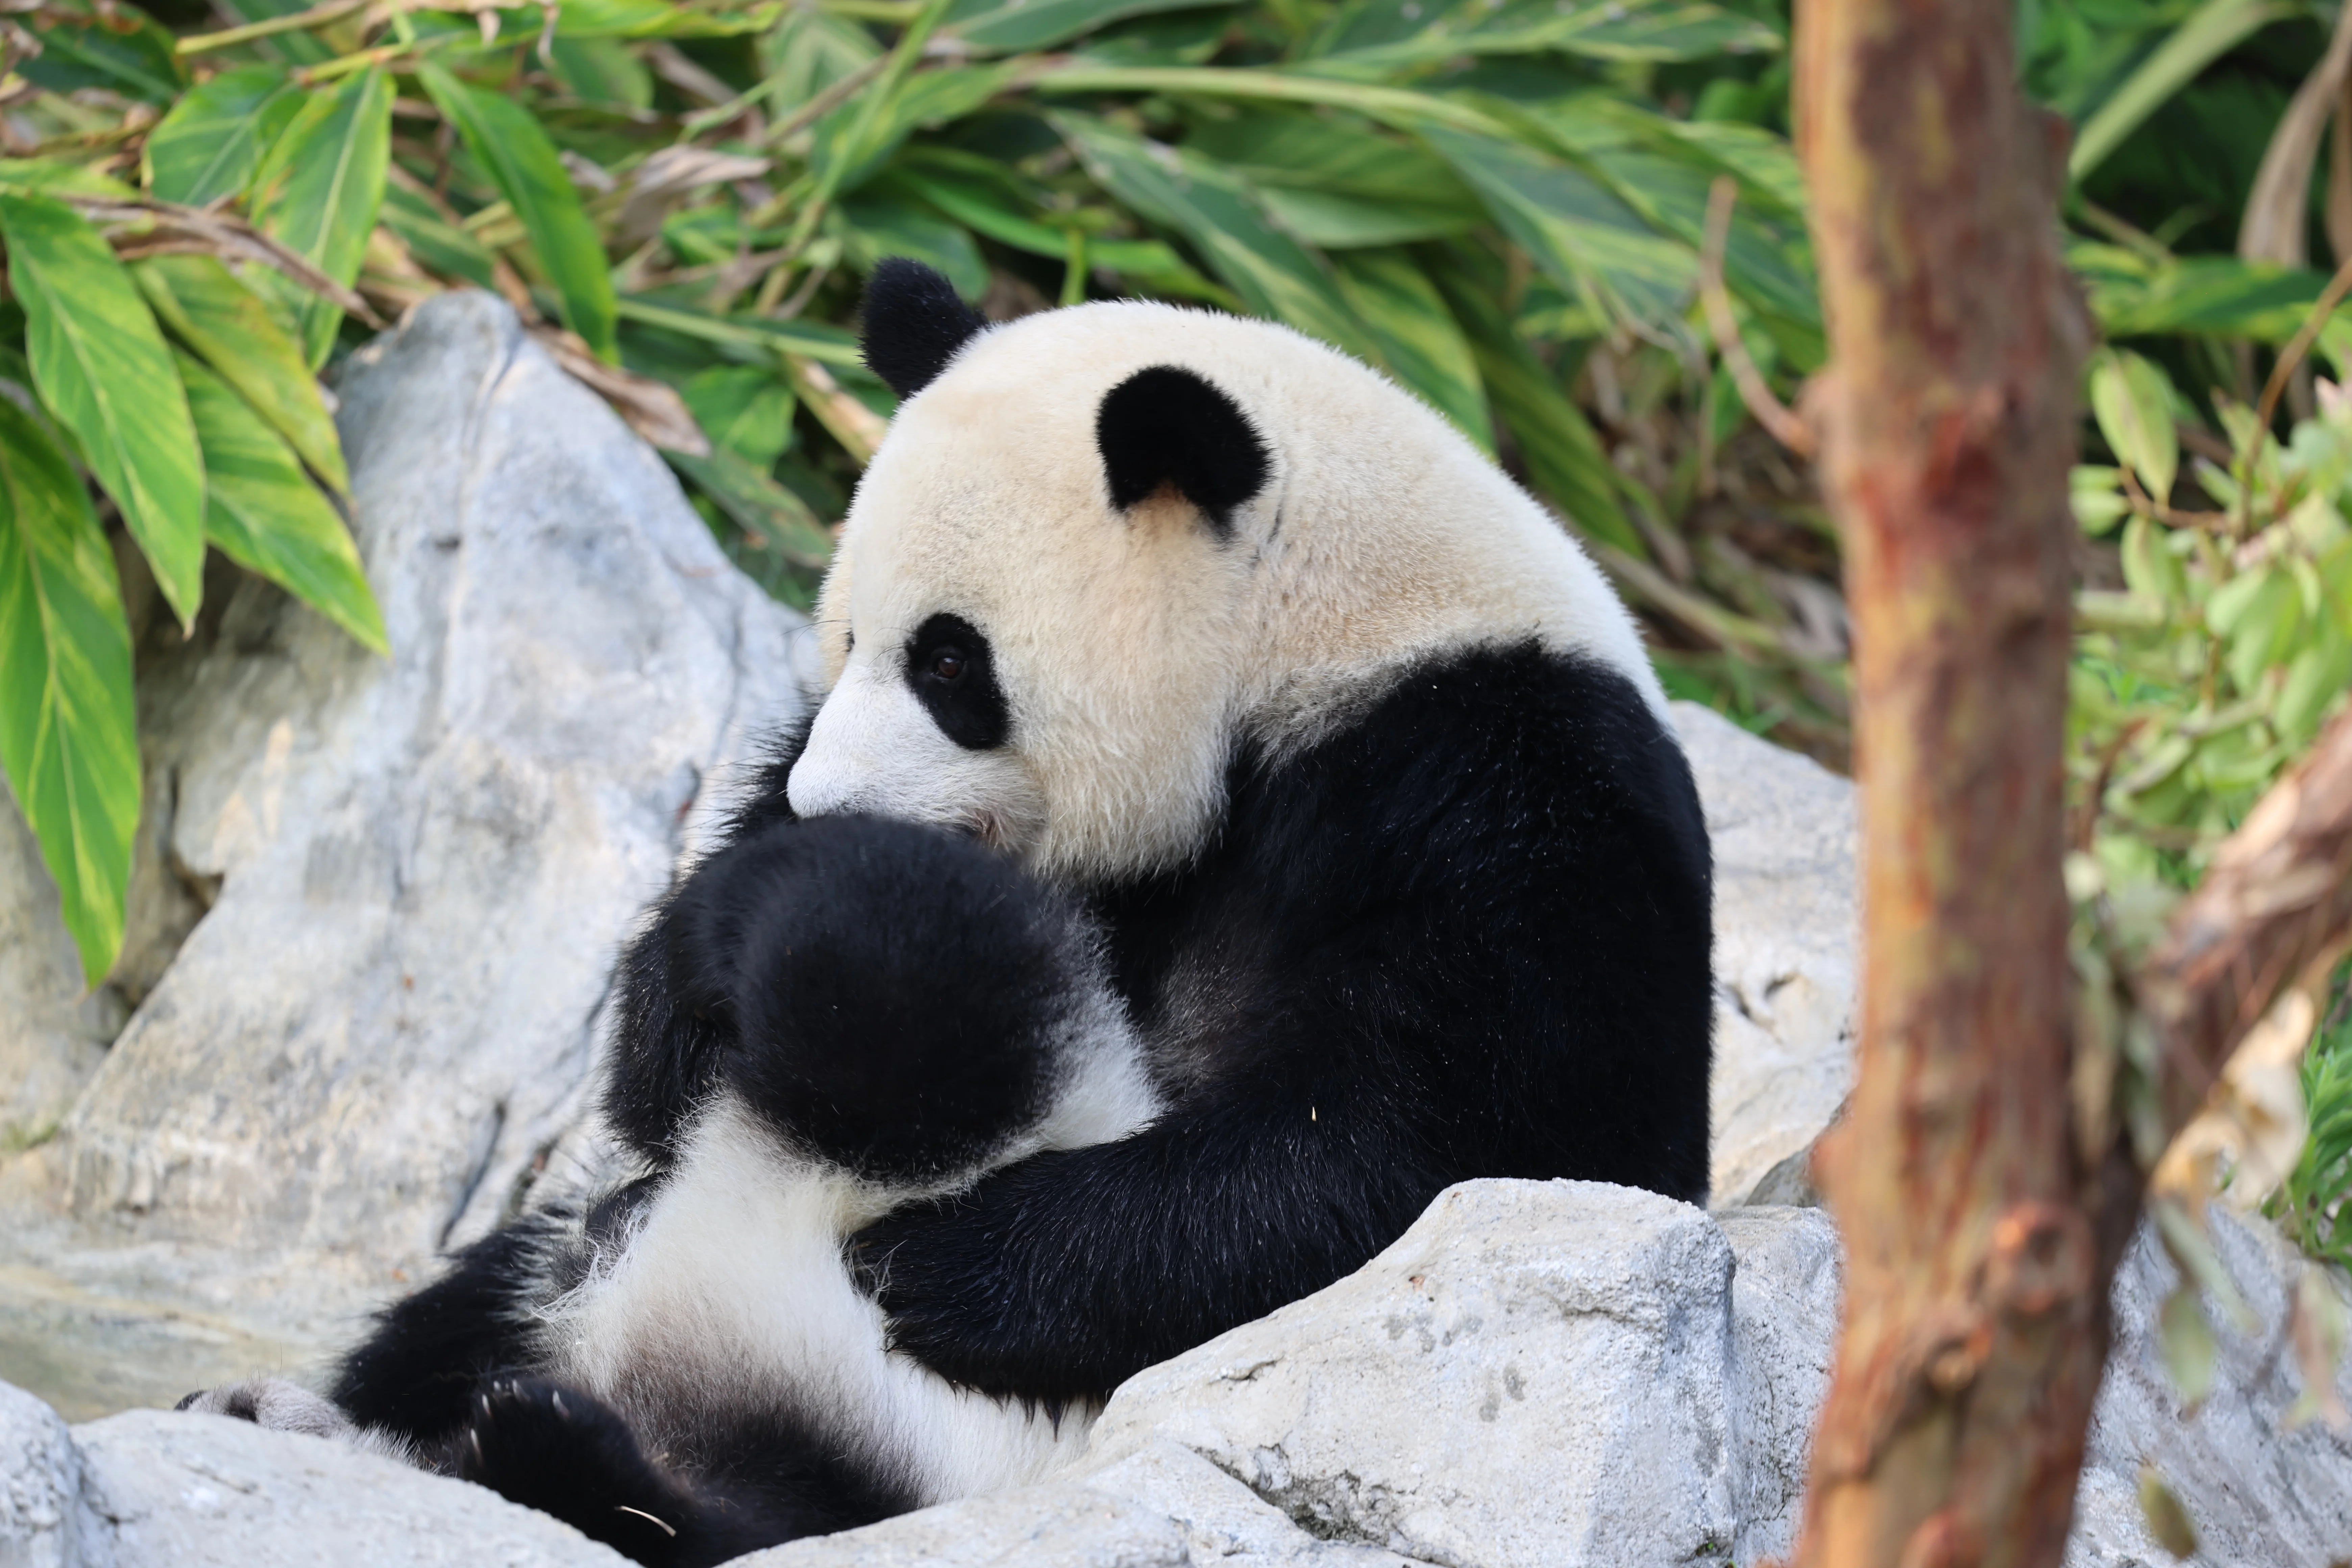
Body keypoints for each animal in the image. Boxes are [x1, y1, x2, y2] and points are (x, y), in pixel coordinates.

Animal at [181, 259, 1714, 1566]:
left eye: (949, 662)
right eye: (846, 632)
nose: (829, 796)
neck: (1326, 637)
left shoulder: (1507, 805)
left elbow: (1423, 1144)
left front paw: (954, 1266)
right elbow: (716, 998)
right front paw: (705, 987)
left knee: (769, 1499)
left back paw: (570, 1456)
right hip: (590, 1260)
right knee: (506, 1283)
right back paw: (327, 1413)